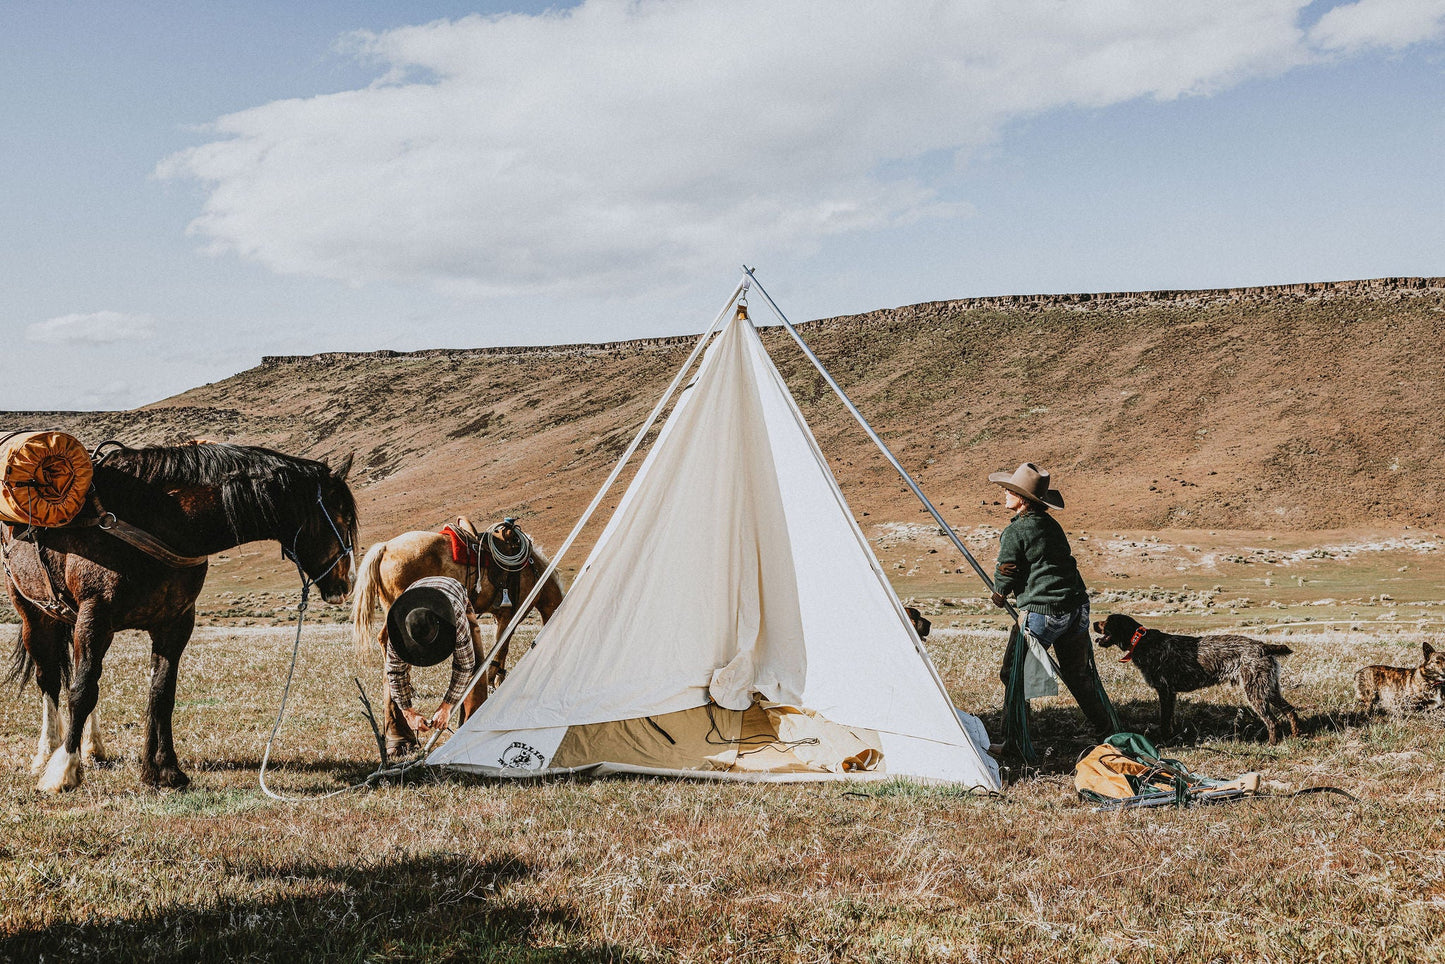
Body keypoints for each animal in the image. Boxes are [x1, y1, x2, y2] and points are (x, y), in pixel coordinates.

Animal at [5, 445, 355, 792]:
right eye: (343, 517)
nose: (347, 583)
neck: (160, 519)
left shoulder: (174, 624)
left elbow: (161, 694)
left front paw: (164, 770)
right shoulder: (95, 617)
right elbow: (82, 691)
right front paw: (62, 771)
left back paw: (93, 748)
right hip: (35, 615)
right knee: (50, 680)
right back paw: (47, 752)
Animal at [349, 520, 563, 751]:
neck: (535, 573)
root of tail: (386, 547)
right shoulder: (510, 614)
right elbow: (502, 646)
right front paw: (494, 680)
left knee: (384, 641)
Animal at [1092, 615, 1300, 745]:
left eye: (1108, 621)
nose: (1093, 623)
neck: (1141, 641)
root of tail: (1263, 646)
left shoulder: (1164, 691)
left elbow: (1164, 720)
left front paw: (1164, 741)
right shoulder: (1171, 694)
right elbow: (1170, 719)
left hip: (1255, 692)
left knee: (1272, 721)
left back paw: (1271, 744)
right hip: (1269, 689)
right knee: (1291, 711)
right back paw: (1296, 735)